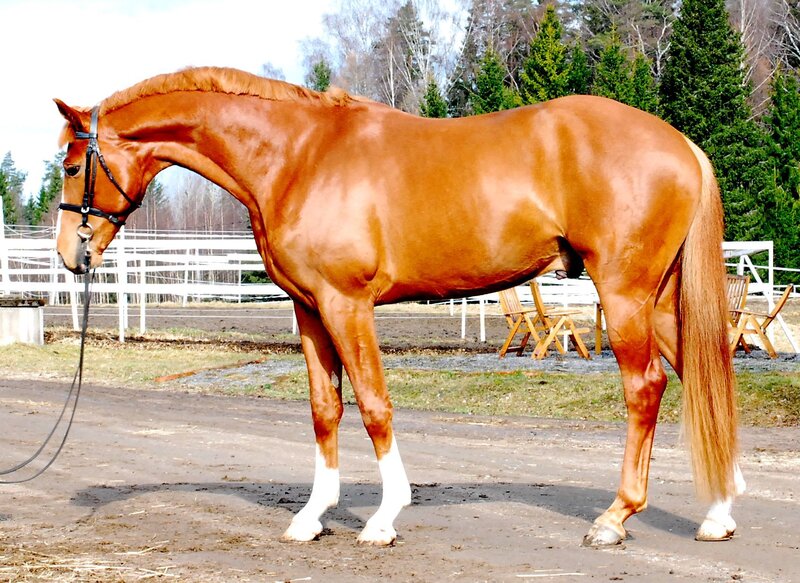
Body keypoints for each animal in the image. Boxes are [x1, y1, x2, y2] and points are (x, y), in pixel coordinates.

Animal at [54, 66, 745, 547]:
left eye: (71, 164)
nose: (70, 254)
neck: (298, 156)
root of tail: (681, 145)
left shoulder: (347, 306)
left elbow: (374, 406)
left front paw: (384, 517)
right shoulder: (309, 309)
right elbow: (325, 410)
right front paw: (311, 517)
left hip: (624, 293)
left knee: (646, 387)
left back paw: (615, 519)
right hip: (660, 300)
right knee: (701, 375)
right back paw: (717, 512)